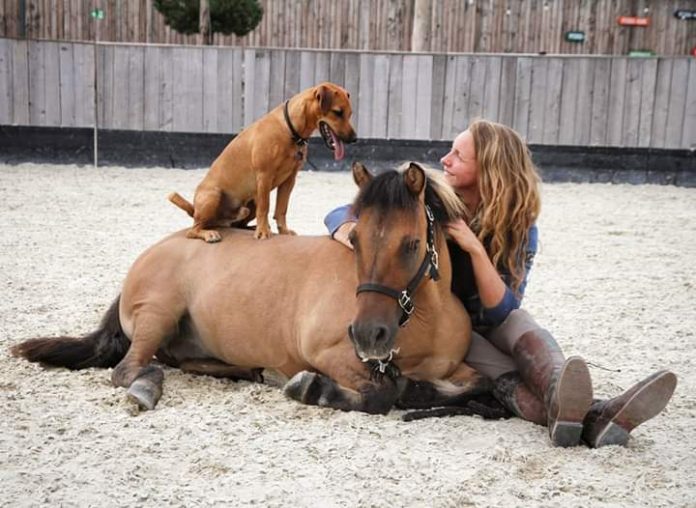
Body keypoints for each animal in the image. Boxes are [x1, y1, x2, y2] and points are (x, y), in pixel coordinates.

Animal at [10, 164, 500, 420]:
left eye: (412, 243)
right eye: (356, 239)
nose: (368, 335)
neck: (424, 320)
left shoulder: (455, 366)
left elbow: (476, 383)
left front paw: (421, 391)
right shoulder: (327, 352)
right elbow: (382, 393)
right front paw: (311, 387)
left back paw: (253, 371)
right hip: (157, 314)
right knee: (129, 369)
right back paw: (148, 387)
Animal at [167, 82, 354, 243]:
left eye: (350, 114)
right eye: (338, 112)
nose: (354, 139)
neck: (290, 130)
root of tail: (195, 210)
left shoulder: (289, 180)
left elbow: (281, 209)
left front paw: (283, 231)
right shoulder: (264, 176)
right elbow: (265, 207)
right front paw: (263, 232)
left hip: (249, 204)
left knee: (237, 224)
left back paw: (251, 228)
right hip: (213, 196)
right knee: (193, 229)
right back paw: (210, 233)